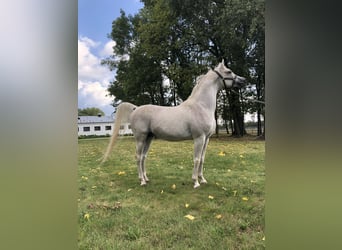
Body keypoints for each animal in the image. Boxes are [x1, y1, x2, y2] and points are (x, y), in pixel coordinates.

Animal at [101, 61, 246, 188]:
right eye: (229, 71)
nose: (243, 80)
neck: (201, 106)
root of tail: (135, 108)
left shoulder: (206, 139)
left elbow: (202, 159)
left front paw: (203, 179)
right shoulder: (199, 138)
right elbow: (196, 159)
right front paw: (195, 182)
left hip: (148, 138)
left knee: (143, 157)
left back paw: (146, 178)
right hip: (140, 138)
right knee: (138, 157)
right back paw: (142, 181)